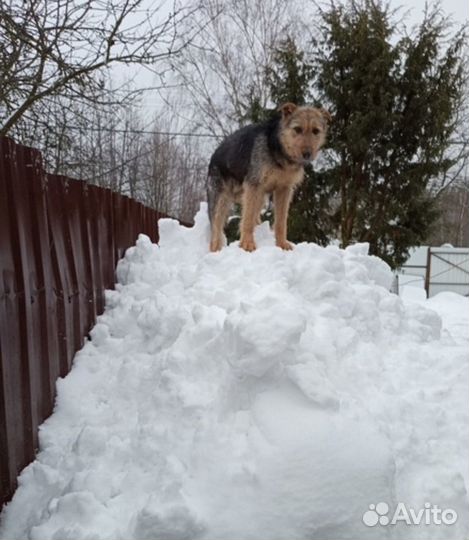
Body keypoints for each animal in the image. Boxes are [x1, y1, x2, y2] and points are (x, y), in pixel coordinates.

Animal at [205, 102, 330, 252]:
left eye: (316, 131)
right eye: (297, 129)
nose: (307, 154)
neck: (280, 153)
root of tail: (214, 156)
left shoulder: (284, 189)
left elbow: (281, 222)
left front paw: (282, 244)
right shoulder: (253, 185)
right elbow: (247, 220)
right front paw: (247, 244)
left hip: (259, 197)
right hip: (221, 200)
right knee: (216, 230)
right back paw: (216, 249)